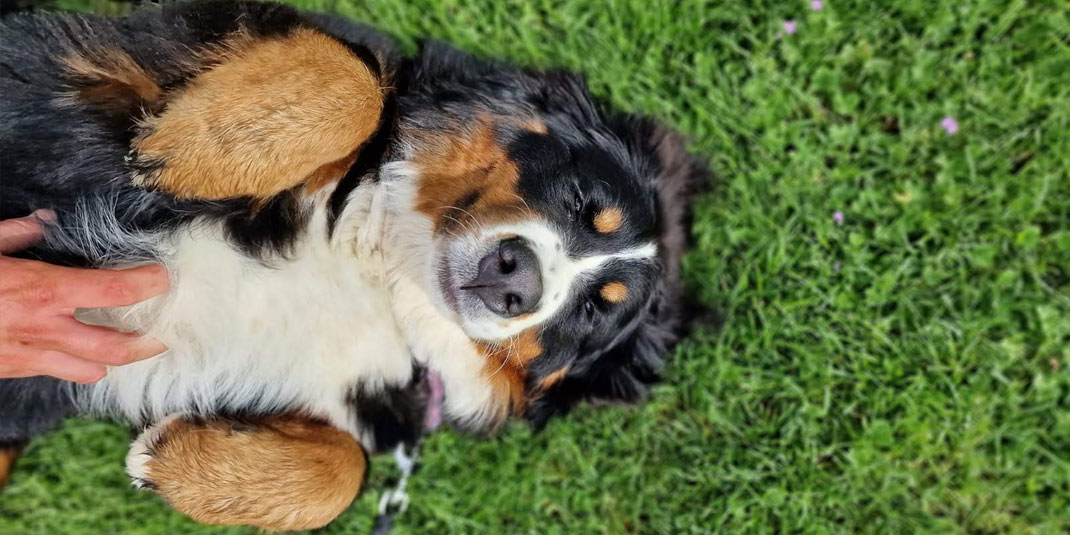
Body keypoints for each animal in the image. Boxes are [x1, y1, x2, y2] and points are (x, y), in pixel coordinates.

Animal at [0, 1, 710, 530]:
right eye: (581, 201)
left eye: (593, 310)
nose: (518, 277)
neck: (381, 272)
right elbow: (357, 80)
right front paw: (194, 150)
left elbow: (345, 472)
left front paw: (176, 463)